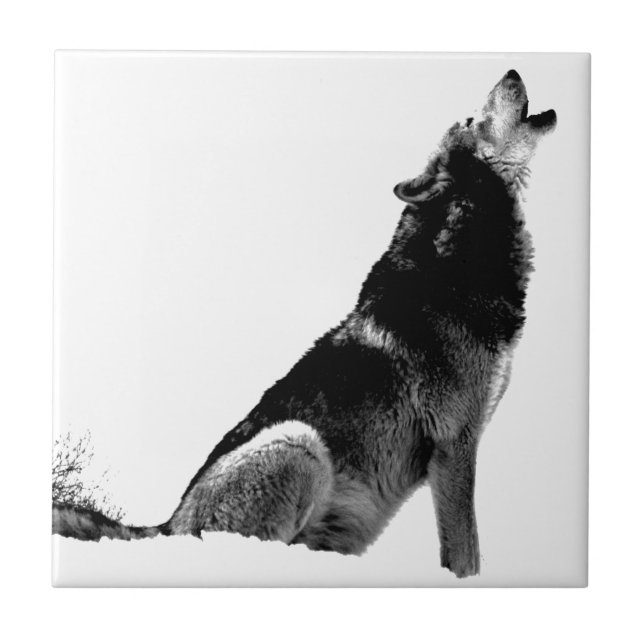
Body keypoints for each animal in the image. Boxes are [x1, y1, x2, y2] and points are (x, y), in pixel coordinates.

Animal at [54, 70, 556, 578]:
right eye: (472, 119)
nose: (512, 72)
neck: (460, 261)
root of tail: (168, 525)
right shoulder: (455, 445)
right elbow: (466, 553)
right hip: (300, 443)